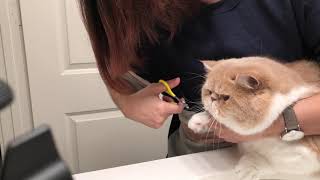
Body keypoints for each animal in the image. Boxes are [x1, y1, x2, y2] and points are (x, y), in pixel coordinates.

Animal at [188, 57, 320, 179]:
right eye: (209, 92)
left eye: (225, 97)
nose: (212, 98)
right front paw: (198, 121)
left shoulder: (307, 156)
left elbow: (274, 164)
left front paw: (249, 167)